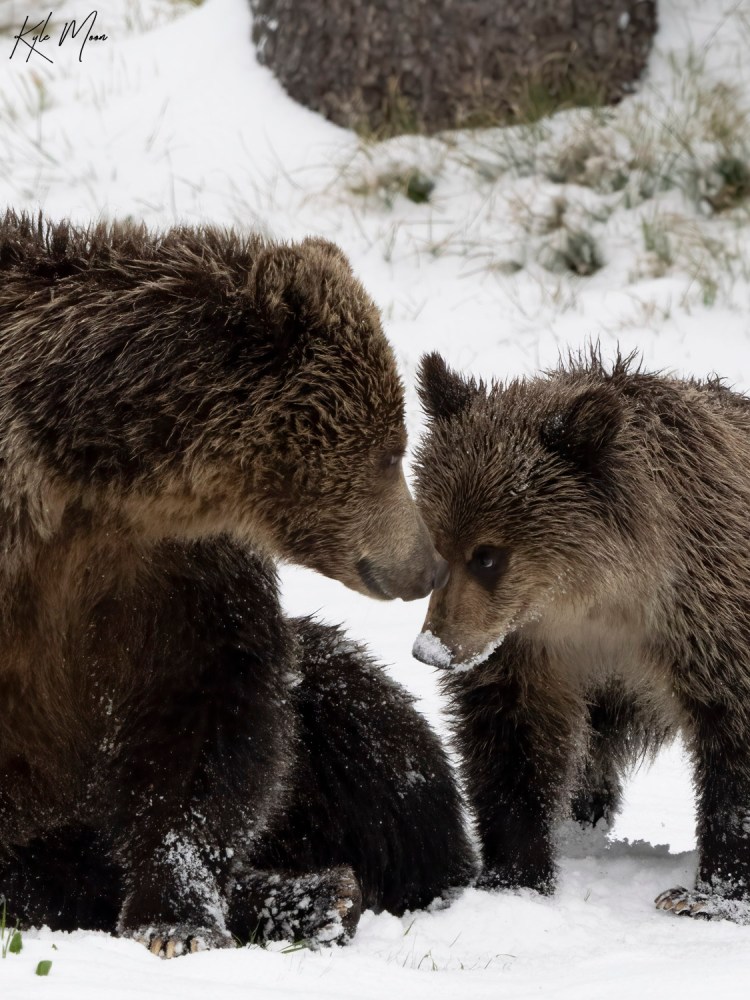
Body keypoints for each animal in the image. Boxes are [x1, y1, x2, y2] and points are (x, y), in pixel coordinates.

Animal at [0, 209, 470, 952]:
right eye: (391, 450)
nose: (427, 565)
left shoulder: (167, 567)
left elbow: (209, 703)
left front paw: (177, 913)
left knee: (371, 734)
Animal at [414, 350, 750, 920]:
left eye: (488, 555)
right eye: (437, 542)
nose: (432, 650)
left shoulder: (705, 620)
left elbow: (734, 742)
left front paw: (707, 895)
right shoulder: (533, 646)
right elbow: (513, 741)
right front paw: (515, 877)